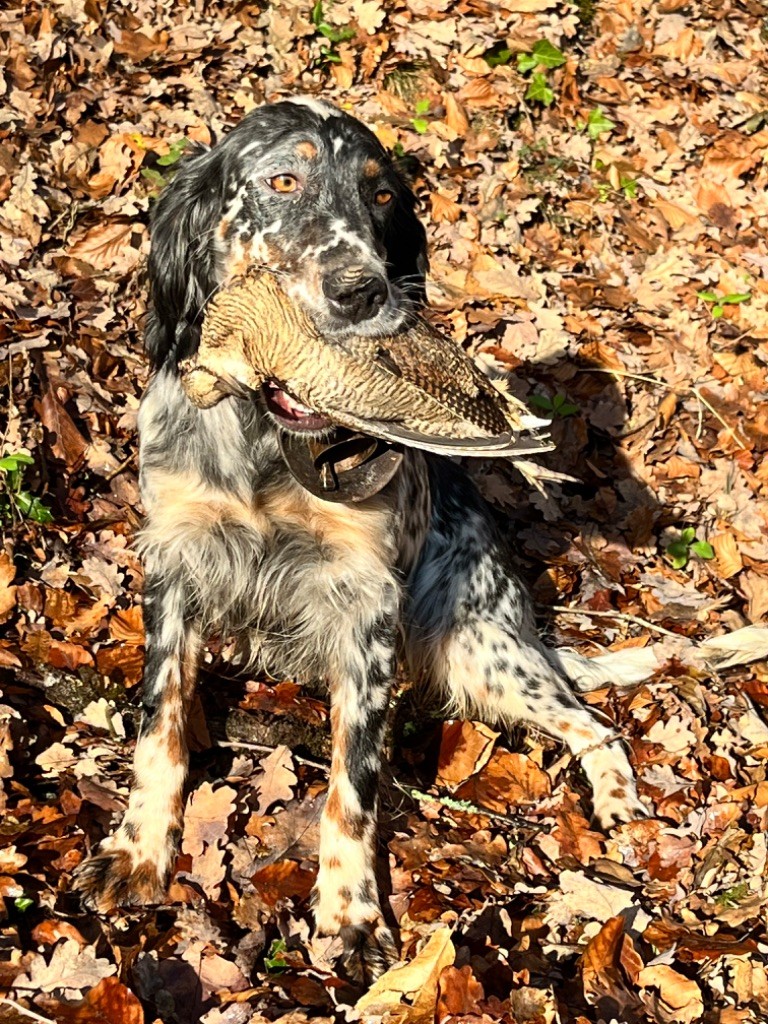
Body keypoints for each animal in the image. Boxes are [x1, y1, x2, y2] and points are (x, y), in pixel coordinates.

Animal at [75, 97, 647, 983]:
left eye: (381, 196)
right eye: (283, 180)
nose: (362, 292)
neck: (265, 440)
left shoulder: (366, 604)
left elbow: (355, 782)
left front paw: (349, 914)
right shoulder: (176, 561)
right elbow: (159, 726)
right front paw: (140, 851)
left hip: (479, 648)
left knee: (593, 721)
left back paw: (618, 799)